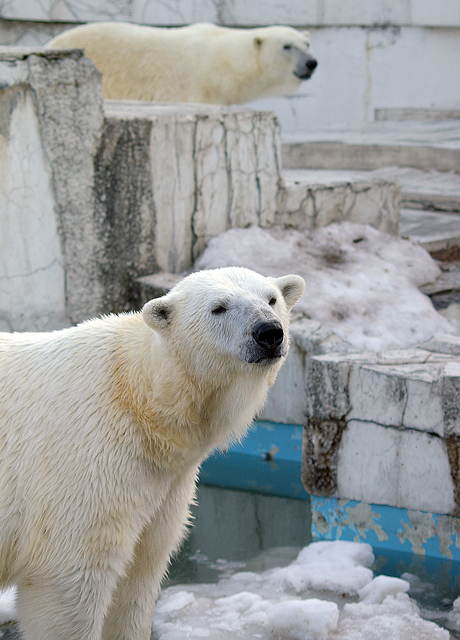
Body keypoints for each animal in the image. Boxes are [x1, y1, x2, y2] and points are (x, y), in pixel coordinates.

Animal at [0, 266, 306, 640]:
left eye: (272, 299)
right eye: (218, 308)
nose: (269, 332)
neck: (139, 395)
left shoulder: (163, 483)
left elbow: (138, 575)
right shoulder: (86, 468)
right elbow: (70, 581)